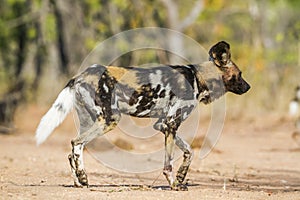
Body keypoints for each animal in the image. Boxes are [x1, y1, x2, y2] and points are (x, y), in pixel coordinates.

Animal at [35, 40, 251, 191]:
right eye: (240, 74)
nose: (248, 87)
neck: (198, 79)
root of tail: (79, 76)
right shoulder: (171, 123)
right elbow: (168, 164)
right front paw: (174, 185)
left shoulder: (163, 124)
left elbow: (189, 152)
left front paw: (181, 178)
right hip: (109, 120)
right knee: (76, 143)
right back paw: (82, 177)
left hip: (90, 120)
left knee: (72, 150)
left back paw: (80, 182)